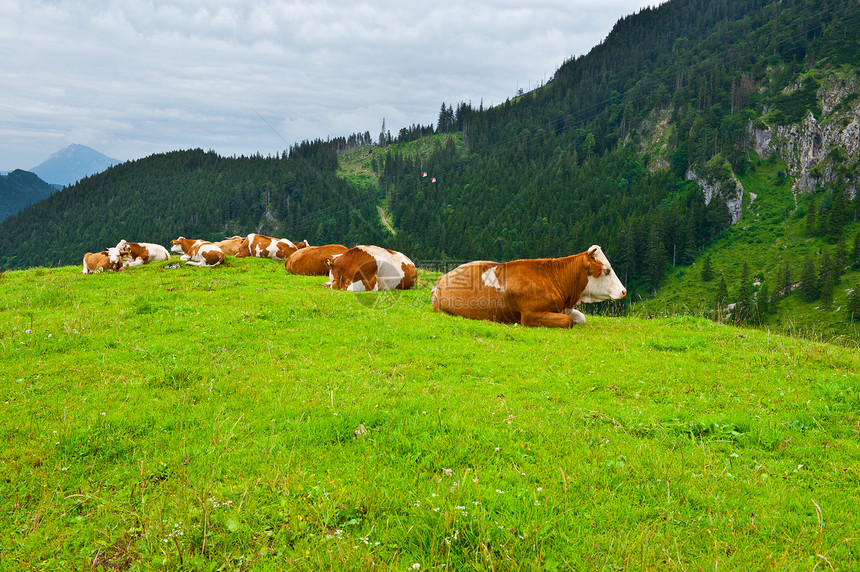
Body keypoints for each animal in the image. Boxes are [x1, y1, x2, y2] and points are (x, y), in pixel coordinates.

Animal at [430, 244, 624, 328]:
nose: (624, 291)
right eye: (607, 270)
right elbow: (568, 321)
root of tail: (440, 280)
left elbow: (579, 317)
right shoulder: (530, 315)